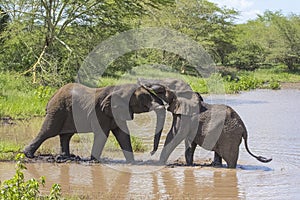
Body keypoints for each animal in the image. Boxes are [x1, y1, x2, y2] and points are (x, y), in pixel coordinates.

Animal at [23, 82, 169, 162]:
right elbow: (102, 134)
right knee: (48, 131)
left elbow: (123, 135)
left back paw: (67, 157)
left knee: (66, 135)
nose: (151, 153)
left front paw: (132, 162)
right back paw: (28, 155)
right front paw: (94, 161)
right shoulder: (100, 112)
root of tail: (53, 95)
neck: (118, 88)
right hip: (57, 111)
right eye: (144, 97)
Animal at [138, 78, 272, 167]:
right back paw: (215, 165)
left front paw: (160, 164)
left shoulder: (185, 117)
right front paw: (189, 165)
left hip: (231, 136)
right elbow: (189, 142)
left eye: (161, 90)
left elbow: (175, 136)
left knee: (230, 159)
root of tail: (244, 129)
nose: (150, 153)